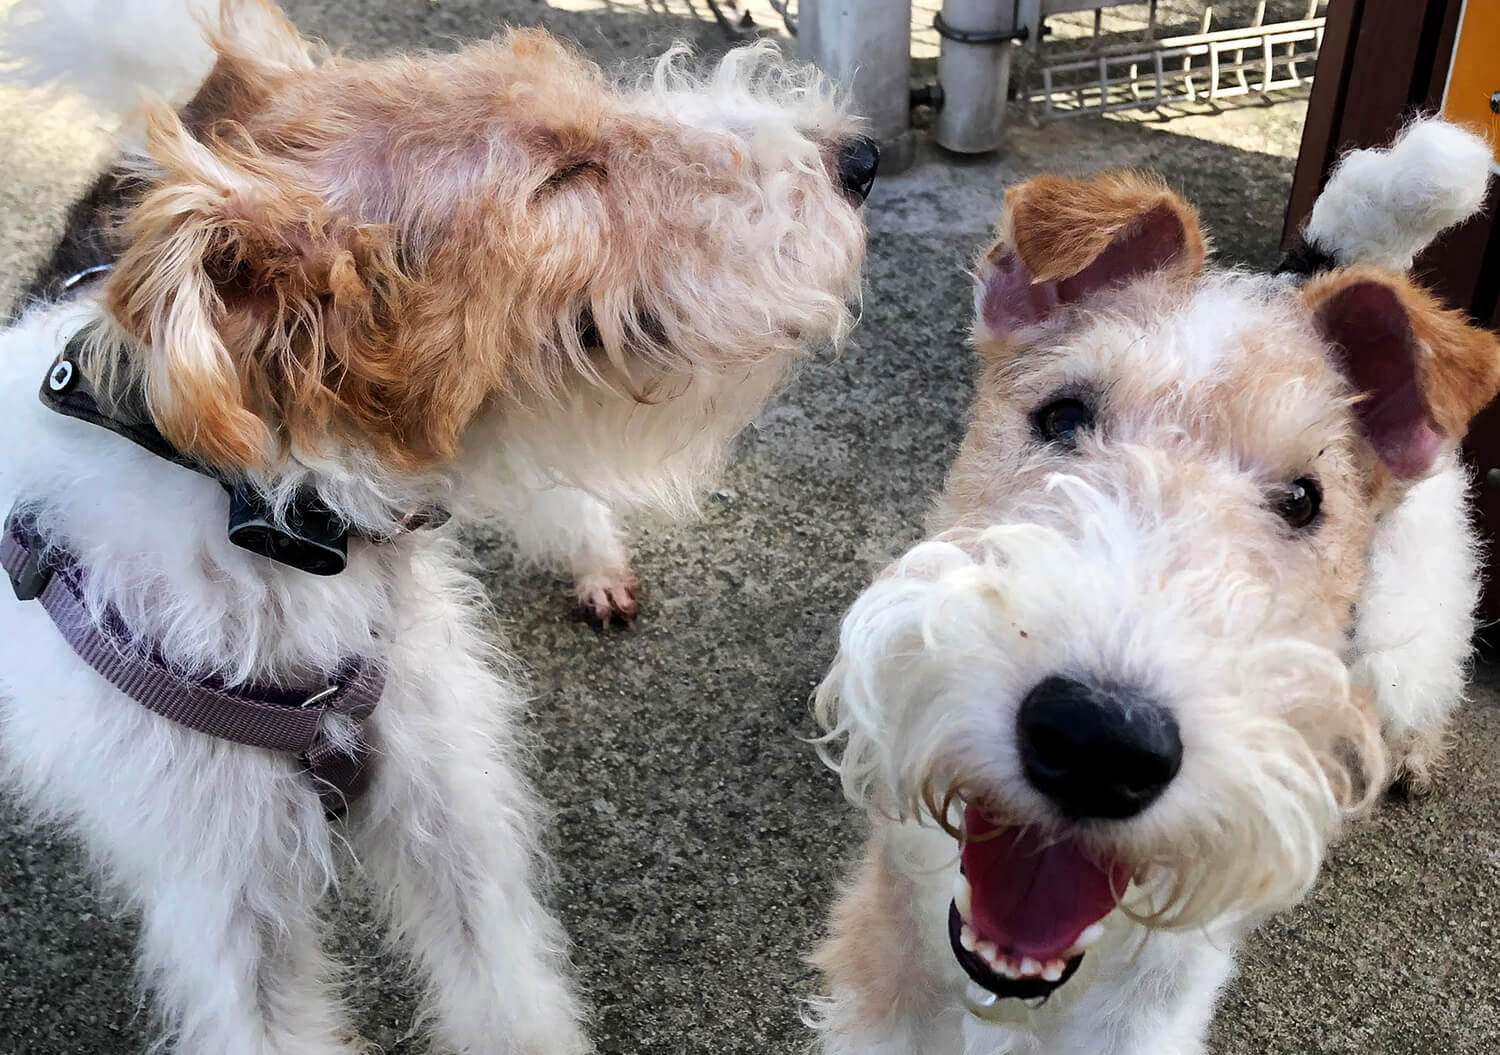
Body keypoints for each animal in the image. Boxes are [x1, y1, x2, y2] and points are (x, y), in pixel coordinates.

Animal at [816, 115, 1494, 1055]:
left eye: (1303, 500)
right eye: (1062, 415)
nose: (1100, 741)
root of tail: (1308, 267)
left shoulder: (1152, 1007)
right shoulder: (886, 954)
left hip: (1412, 614)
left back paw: (1413, 754)